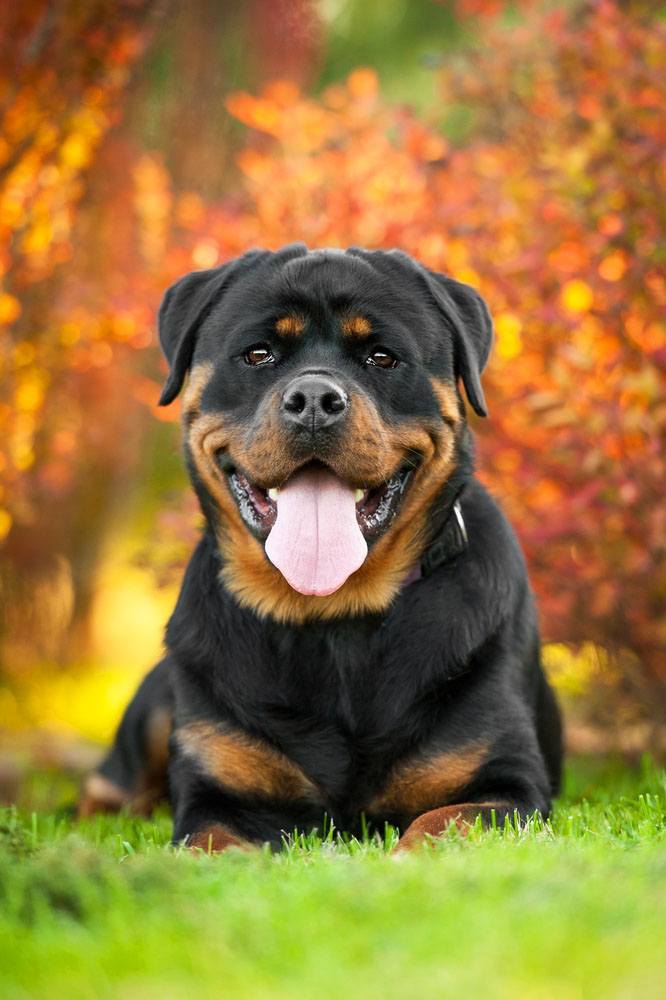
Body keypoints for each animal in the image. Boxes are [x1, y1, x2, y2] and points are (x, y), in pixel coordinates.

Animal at [80, 246, 564, 848]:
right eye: (258, 354)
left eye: (382, 357)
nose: (313, 398)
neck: (332, 615)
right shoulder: (216, 798)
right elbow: (209, 843)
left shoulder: (506, 787)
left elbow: (439, 824)